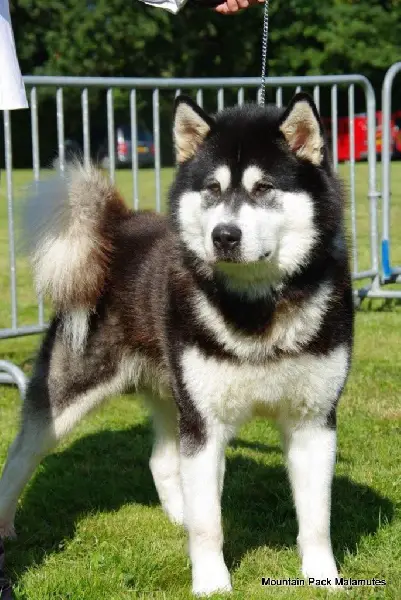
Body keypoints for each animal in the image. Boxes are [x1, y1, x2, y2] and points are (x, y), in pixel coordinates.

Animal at [0, 93, 353, 595]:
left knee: (160, 460)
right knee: (20, 455)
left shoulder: (314, 421)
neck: (254, 309)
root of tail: (120, 227)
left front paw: (324, 577)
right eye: (212, 188)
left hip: (172, 393)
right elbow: (210, 524)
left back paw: (178, 515)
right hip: (66, 397)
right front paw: (211, 584)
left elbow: (317, 519)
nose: (224, 235)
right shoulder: (204, 426)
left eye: (264, 188)